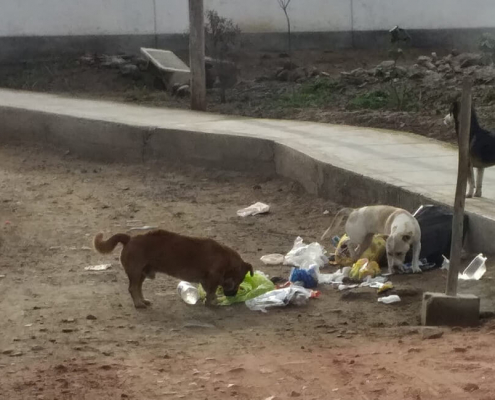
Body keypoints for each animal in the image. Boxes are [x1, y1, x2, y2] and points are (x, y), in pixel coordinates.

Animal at [93, 230, 254, 308]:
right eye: (238, 282)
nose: (233, 295)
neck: (227, 260)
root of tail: (129, 238)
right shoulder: (213, 278)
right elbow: (211, 293)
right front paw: (213, 303)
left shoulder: (208, 280)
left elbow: (209, 292)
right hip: (136, 272)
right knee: (132, 289)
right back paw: (138, 304)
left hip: (142, 273)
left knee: (138, 288)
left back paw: (143, 300)